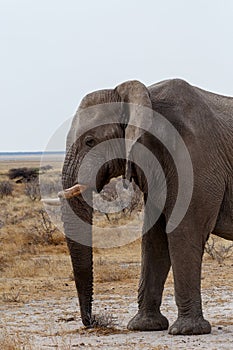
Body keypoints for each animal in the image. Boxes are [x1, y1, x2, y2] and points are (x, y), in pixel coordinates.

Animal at [58, 78, 233, 334]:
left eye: (90, 141)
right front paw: (144, 326)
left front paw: (187, 331)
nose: (92, 321)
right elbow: (154, 238)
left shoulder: (193, 158)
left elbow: (184, 230)